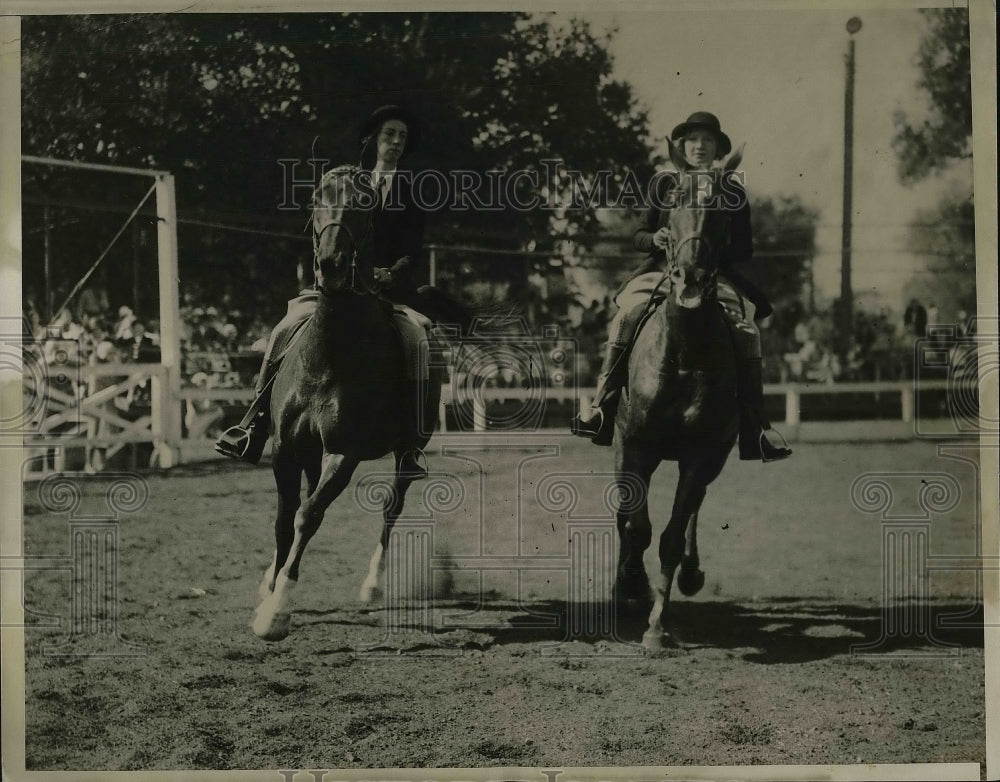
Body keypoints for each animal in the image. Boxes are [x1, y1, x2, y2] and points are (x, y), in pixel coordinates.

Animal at [612, 145, 748, 648]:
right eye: (672, 205)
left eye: (724, 213)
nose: (690, 276)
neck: (684, 353)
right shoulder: (635, 445)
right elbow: (635, 525)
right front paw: (630, 584)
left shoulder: (701, 454)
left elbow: (670, 533)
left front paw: (657, 626)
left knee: (692, 511)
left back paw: (689, 573)